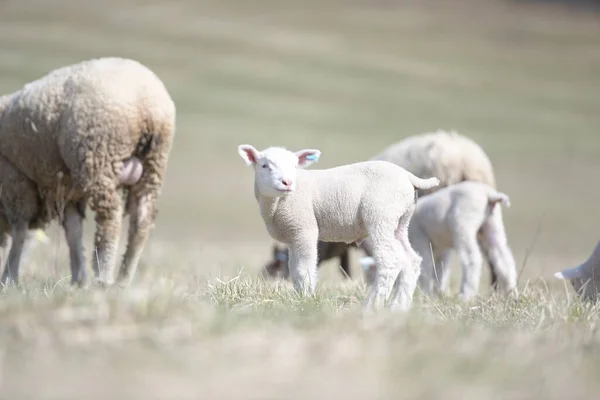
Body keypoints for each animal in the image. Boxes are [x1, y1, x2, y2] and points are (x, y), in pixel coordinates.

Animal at [0, 57, 177, 288]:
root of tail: (148, 105)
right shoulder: (66, 190)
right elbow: (73, 230)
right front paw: (79, 279)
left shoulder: (15, 179)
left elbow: (21, 230)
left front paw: (9, 277)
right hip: (153, 165)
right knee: (141, 220)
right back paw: (123, 279)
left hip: (100, 157)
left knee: (110, 220)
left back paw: (104, 275)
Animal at [238, 144, 440, 312]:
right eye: (264, 165)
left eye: (295, 166)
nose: (287, 182)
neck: (277, 204)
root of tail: (408, 176)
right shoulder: (292, 236)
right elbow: (294, 270)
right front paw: (298, 298)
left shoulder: (305, 230)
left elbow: (305, 269)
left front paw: (306, 301)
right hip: (400, 223)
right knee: (411, 260)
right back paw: (399, 307)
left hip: (380, 217)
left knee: (390, 261)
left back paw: (372, 306)